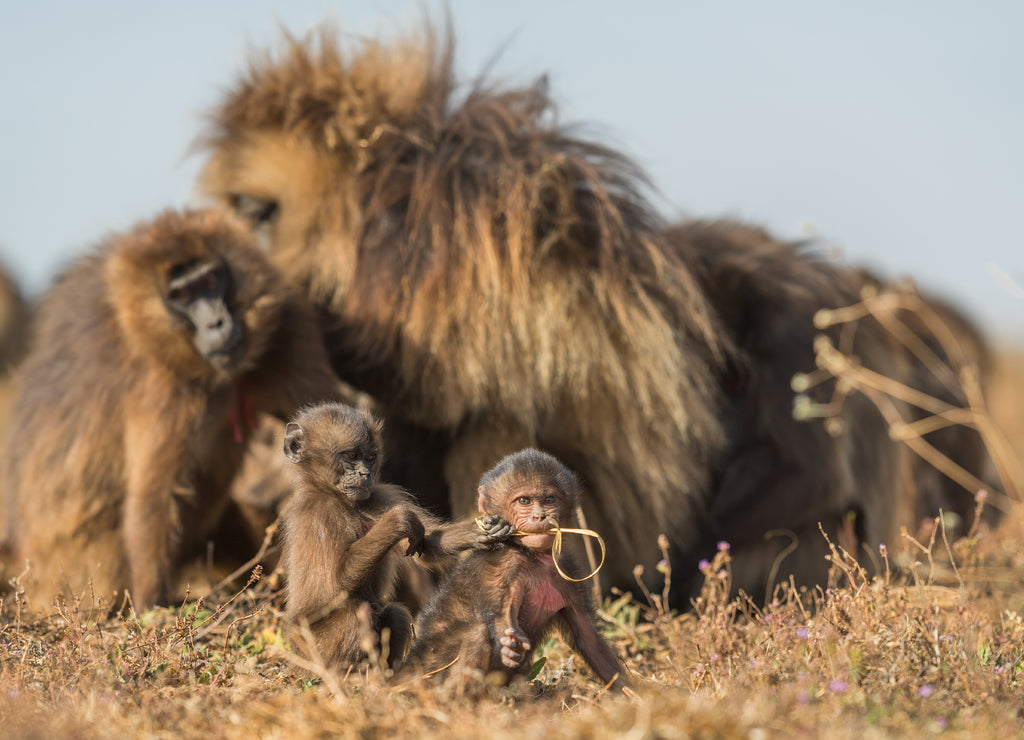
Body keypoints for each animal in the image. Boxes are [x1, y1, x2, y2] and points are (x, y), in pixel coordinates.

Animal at [1, 208, 345, 612]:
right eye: (181, 295)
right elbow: (155, 497)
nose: (216, 323)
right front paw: (153, 605)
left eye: (210, 279)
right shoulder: (163, 389)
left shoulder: (286, 331)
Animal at [280, 401, 509, 671]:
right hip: (310, 649)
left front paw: (485, 530)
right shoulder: (321, 517)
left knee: (395, 615)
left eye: (370, 458)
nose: (365, 474)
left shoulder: (377, 497)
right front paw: (398, 521)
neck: (343, 501)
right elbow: (335, 585)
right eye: (350, 456)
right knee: (353, 613)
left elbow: (427, 544)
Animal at [396, 448, 629, 692]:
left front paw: (633, 693)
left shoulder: (568, 568)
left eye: (549, 500)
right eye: (524, 501)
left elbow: (588, 637)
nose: (539, 516)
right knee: (477, 633)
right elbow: (501, 614)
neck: (535, 557)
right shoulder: (505, 562)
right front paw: (509, 645)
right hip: (429, 666)